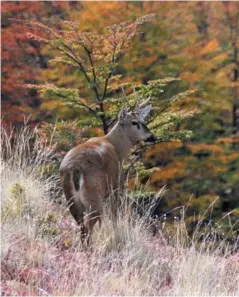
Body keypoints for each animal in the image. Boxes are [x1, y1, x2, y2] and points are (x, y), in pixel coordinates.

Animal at [59, 98, 156, 244]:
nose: (151, 136)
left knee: (82, 227)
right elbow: (115, 215)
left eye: (143, 120)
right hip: (94, 196)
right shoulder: (116, 185)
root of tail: (74, 169)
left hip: (72, 201)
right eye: (134, 122)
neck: (117, 147)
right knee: (88, 227)